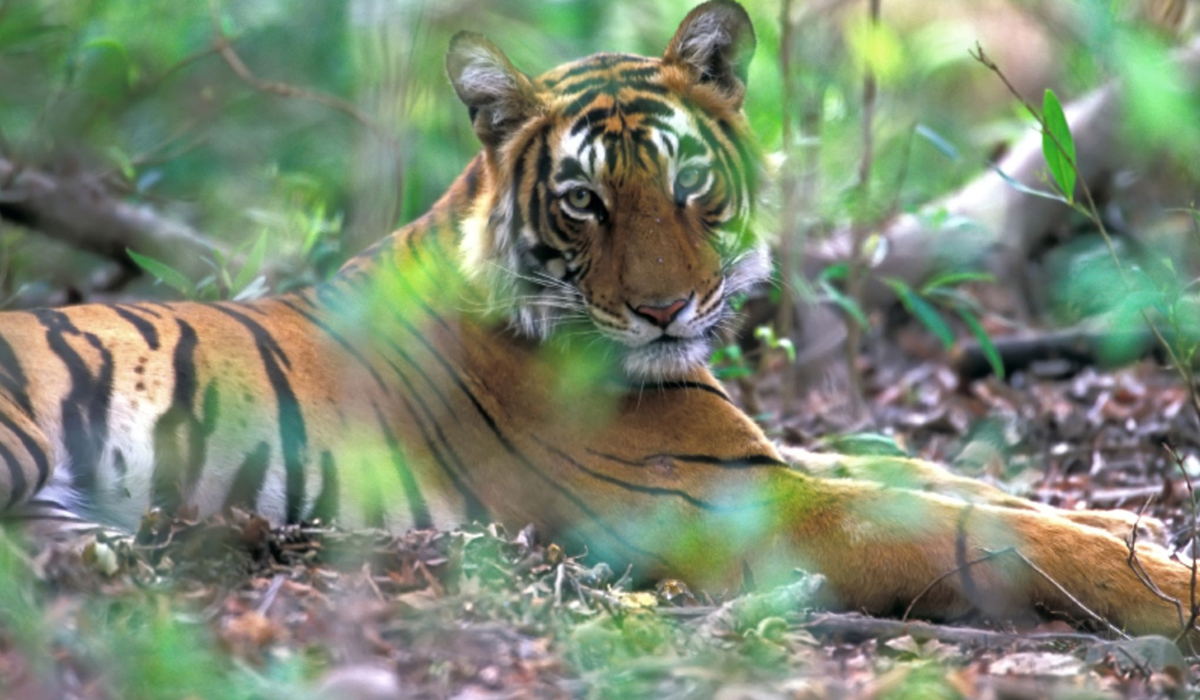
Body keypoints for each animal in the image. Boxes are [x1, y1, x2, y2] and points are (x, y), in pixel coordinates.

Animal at [0, 0, 1195, 641]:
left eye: (688, 186)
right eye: (584, 201)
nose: (664, 310)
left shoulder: (760, 452)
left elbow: (943, 475)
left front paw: (1133, 525)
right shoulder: (728, 497)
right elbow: (969, 528)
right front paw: (1167, 588)